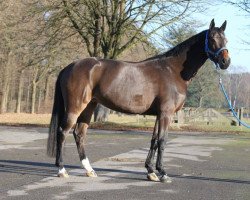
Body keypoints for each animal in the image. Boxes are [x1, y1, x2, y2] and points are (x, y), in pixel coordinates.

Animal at [47, 19, 230, 183]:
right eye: (212, 39)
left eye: (225, 39)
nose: (225, 62)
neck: (172, 70)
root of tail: (70, 66)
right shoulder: (166, 114)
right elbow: (162, 140)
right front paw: (163, 173)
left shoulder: (159, 114)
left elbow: (154, 140)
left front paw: (151, 171)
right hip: (75, 107)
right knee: (63, 132)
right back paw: (62, 170)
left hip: (89, 107)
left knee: (79, 134)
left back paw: (89, 170)